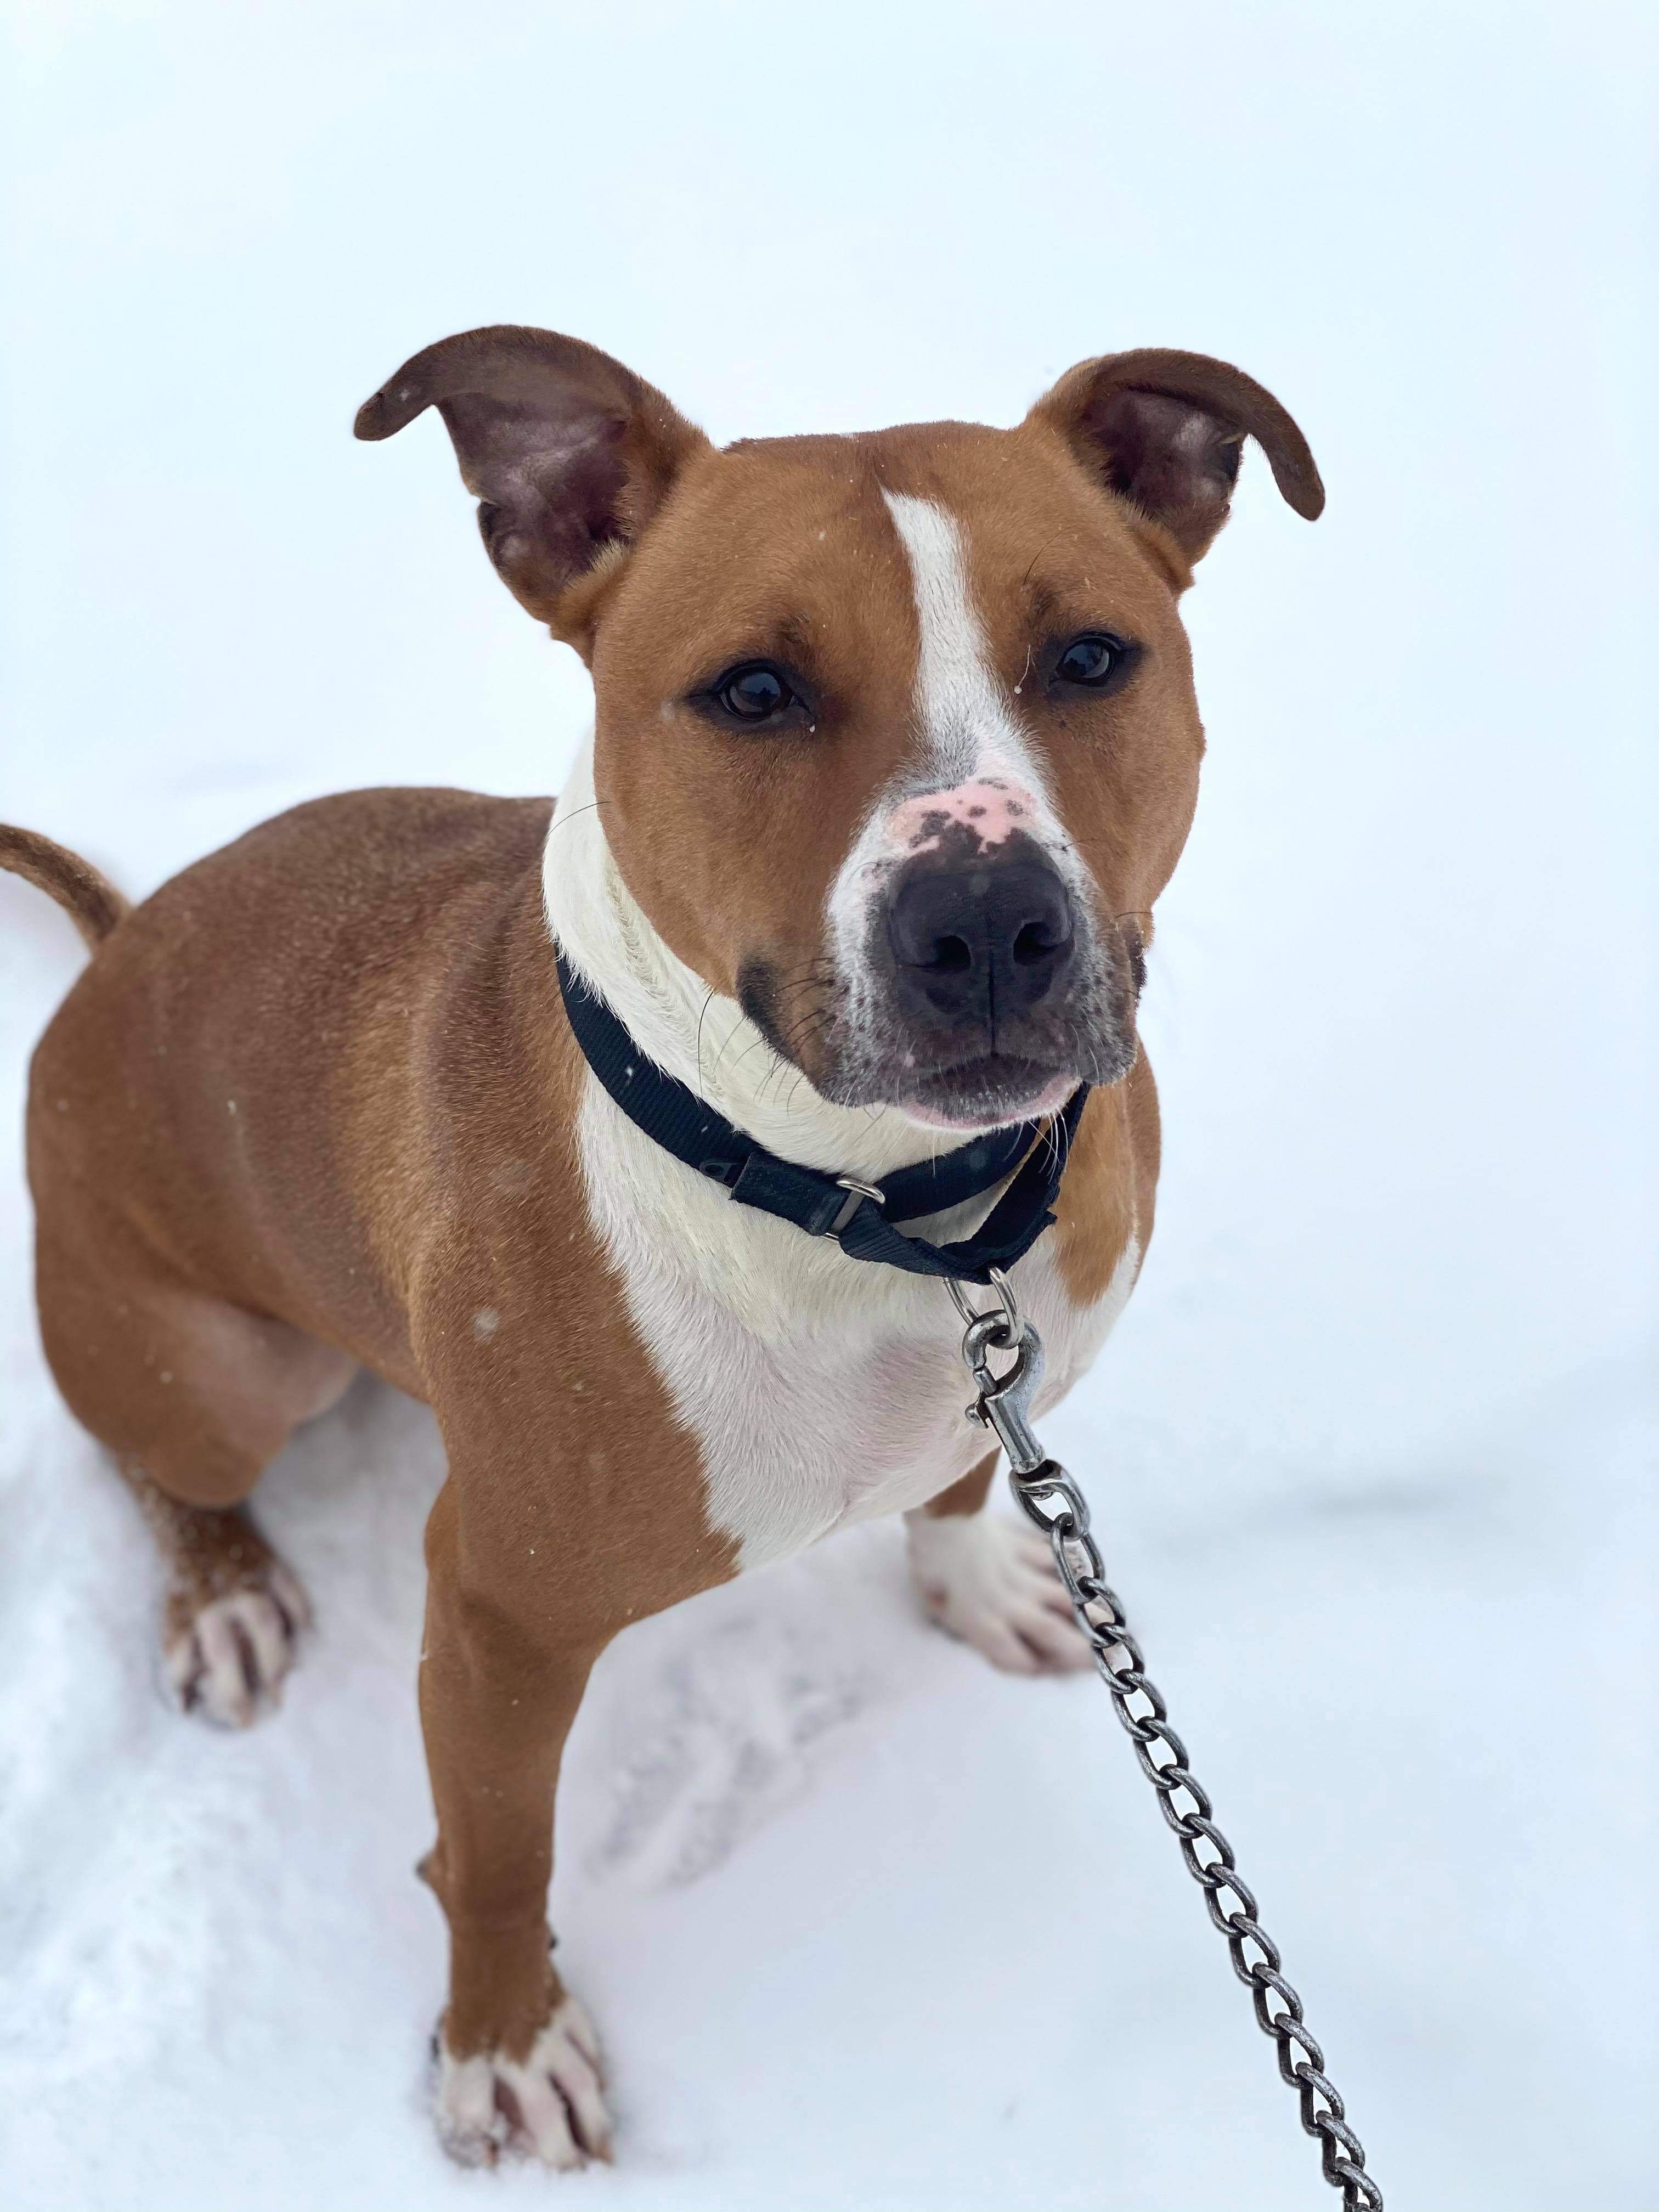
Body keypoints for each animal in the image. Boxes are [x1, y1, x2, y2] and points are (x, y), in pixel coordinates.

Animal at [0, 327, 1327, 2159]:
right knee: (156, 1461)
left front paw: (983, 1584)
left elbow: (964, 1479)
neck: (881, 1212)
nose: (987, 920)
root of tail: (111, 950)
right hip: (221, 1365)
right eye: (752, 691)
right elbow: (495, 1854)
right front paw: (501, 2047)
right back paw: (226, 1598)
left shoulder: (1002, 1366)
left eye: (1089, 657)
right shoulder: (496, 1616)